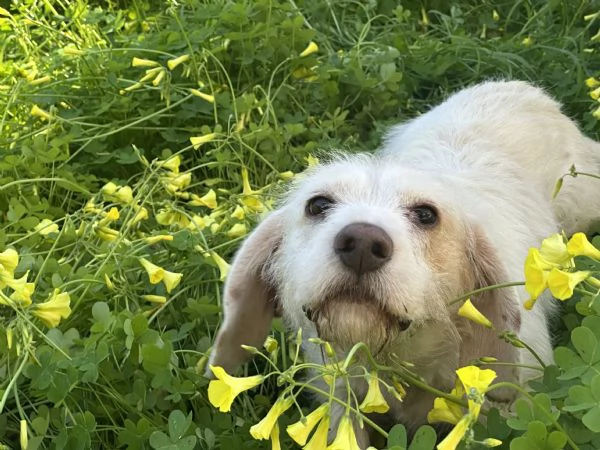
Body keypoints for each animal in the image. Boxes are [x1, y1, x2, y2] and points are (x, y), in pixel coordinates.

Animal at [207, 81, 600, 446]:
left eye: (427, 214)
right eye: (317, 204)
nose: (363, 244)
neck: (403, 360)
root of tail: (520, 86)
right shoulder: (341, 393)